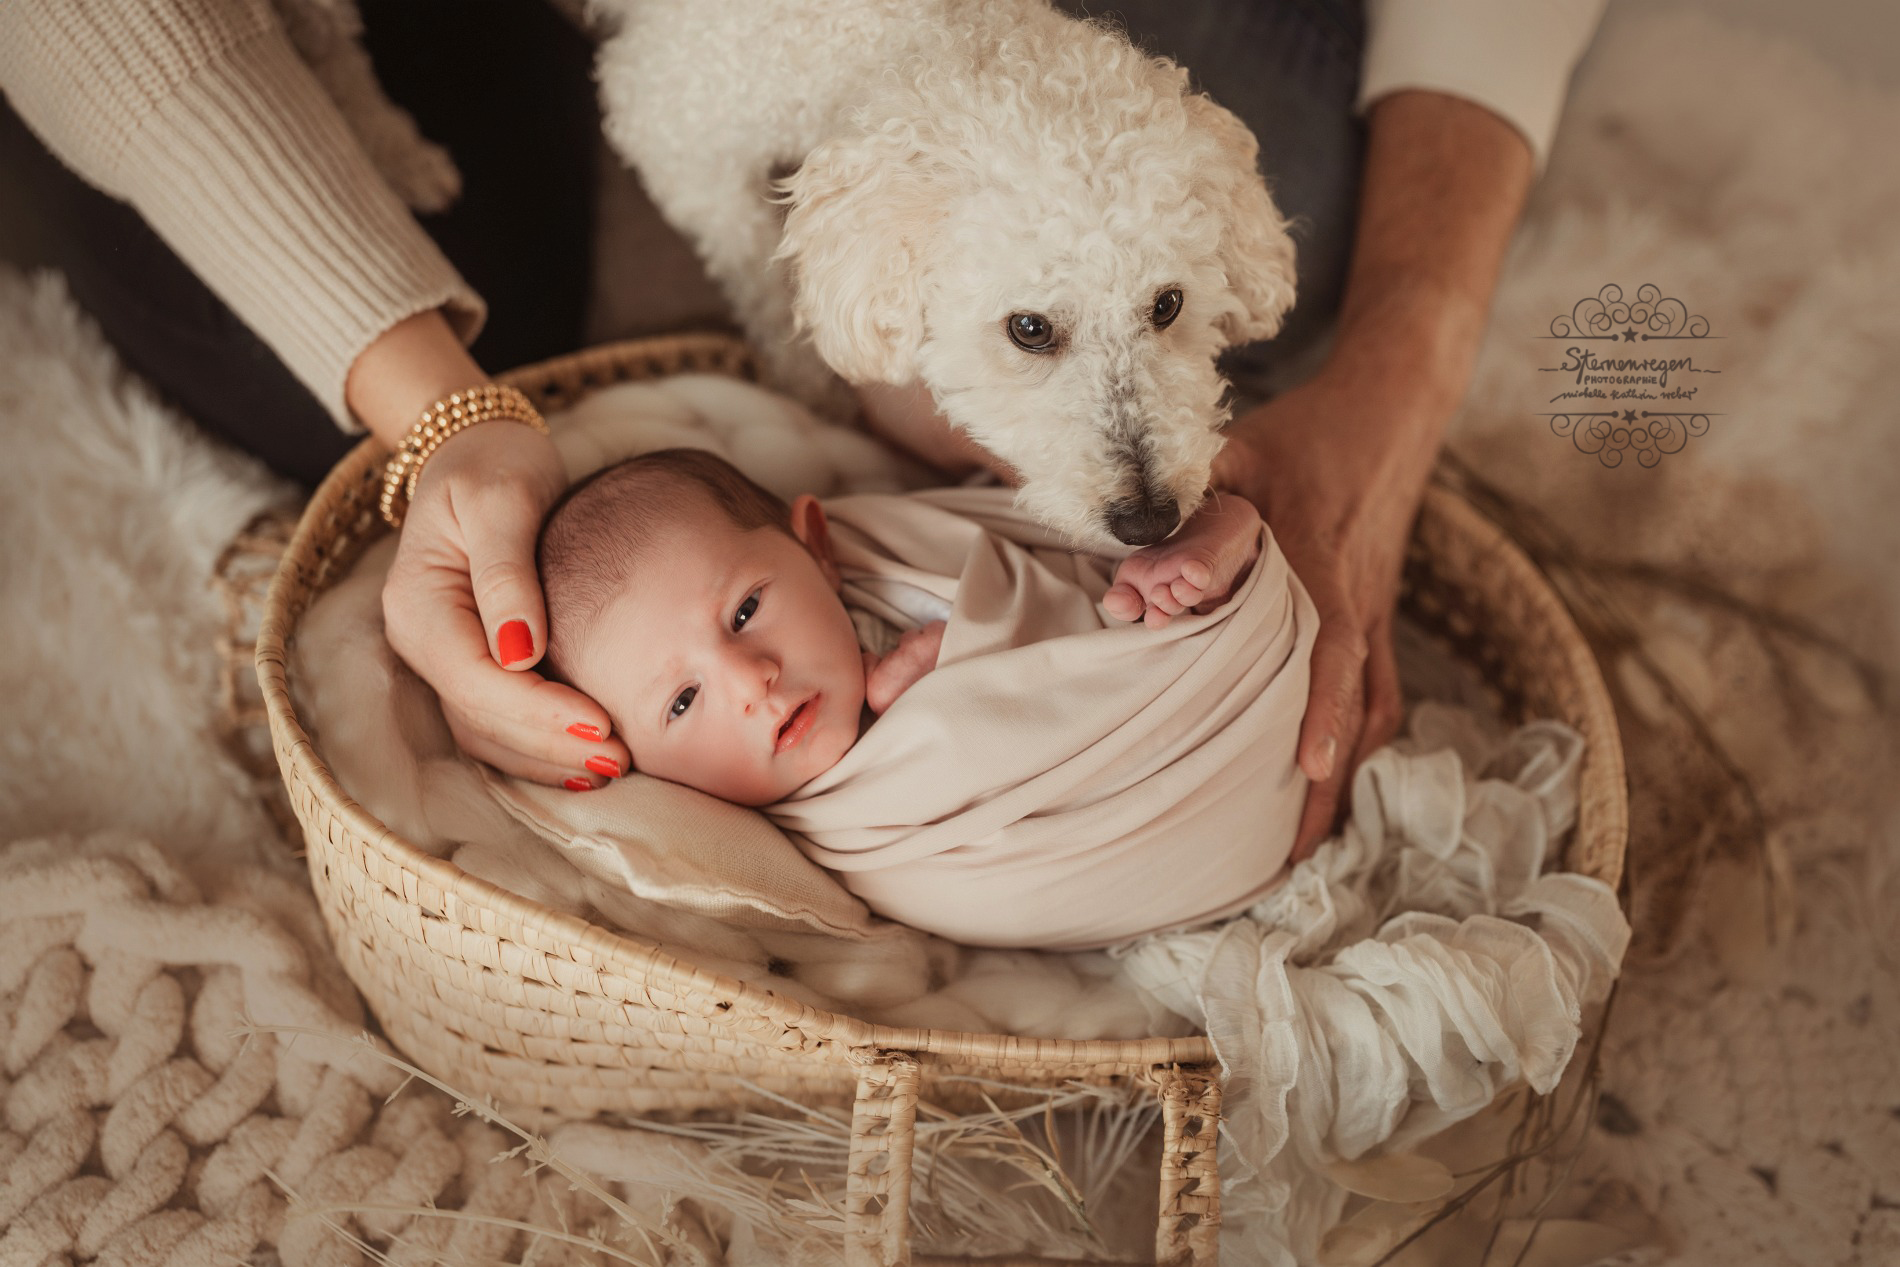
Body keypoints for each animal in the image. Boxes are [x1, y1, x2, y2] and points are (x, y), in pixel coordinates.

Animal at [596, 0, 1307, 547]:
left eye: (1167, 305)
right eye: (1029, 329)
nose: (1150, 523)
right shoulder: (676, 140)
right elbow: (756, 273)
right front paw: (811, 385)